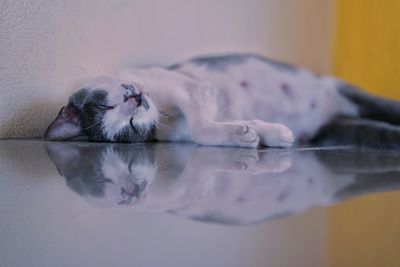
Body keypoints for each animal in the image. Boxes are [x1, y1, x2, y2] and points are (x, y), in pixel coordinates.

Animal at [43, 53, 400, 148]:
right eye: (130, 126)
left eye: (105, 104)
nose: (135, 100)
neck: (165, 110)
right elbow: (205, 131)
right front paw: (261, 134)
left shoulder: (195, 89)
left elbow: (202, 125)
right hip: (350, 128)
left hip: (351, 93)